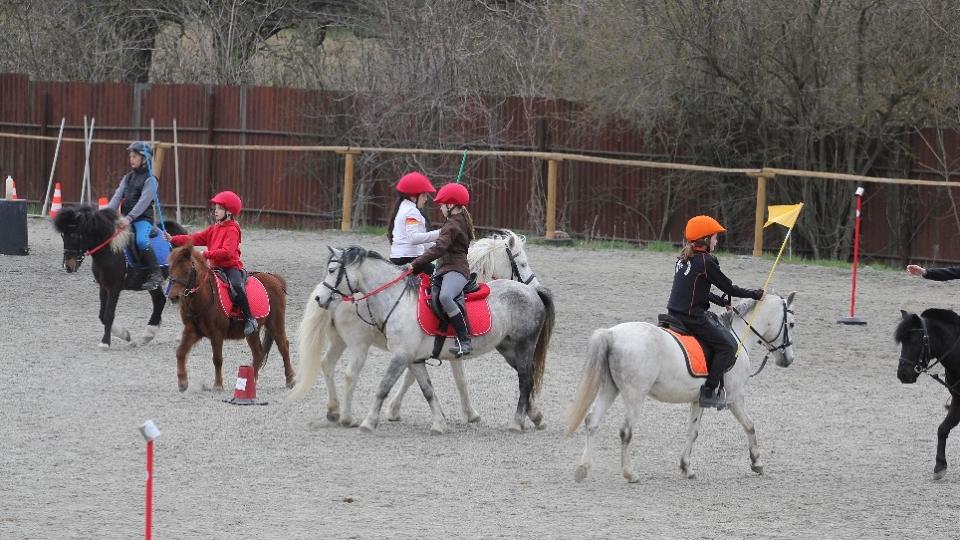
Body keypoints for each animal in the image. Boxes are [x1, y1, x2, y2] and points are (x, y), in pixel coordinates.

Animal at [53, 205, 187, 349]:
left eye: (74, 235)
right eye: (63, 236)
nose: (68, 266)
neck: (110, 251)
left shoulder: (114, 288)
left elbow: (108, 315)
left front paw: (105, 342)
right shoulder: (103, 286)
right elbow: (102, 315)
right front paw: (126, 335)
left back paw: (179, 336)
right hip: (153, 285)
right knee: (159, 301)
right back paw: (148, 334)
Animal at [165, 244, 295, 393]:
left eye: (186, 272)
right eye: (170, 270)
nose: (173, 297)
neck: (205, 296)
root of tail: (275, 278)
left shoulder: (216, 334)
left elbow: (217, 359)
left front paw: (218, 385)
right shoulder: (192, 331)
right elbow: (180, 352)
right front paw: (182, 382)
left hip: (275, 324)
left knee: (284, 347)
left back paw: (290, 380)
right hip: (253, 332)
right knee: (258, 353)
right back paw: (252, 381)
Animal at [288, 231, 540, 428]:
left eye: (332, 270)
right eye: (522, 263)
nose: (535, 286)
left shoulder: (426, 350)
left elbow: (435, 380)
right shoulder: (426, 349)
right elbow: (445, 380)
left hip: (339, 341)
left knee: (327, 364)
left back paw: (333, 409)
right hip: (359, 344)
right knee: (350, 374)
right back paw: (346, 416)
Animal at [566, 292, 797, 483]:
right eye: (792, 324)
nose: (789, 359)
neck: (738, 336)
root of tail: (612, 334)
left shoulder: (699, 400)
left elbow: (692, 432)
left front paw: (686, 467)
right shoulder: (735, 397)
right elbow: (750, 425)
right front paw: (757, 462)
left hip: (609, 389)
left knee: (592, 422)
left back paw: (583, 468)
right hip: (635, 396)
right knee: (625, 432)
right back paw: (629, 474)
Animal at [894, 309, 960, 480]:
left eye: (915, 341)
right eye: (902, 342)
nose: (902, 374)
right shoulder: (958, 400)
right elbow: (943, 429)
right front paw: (940, 466)